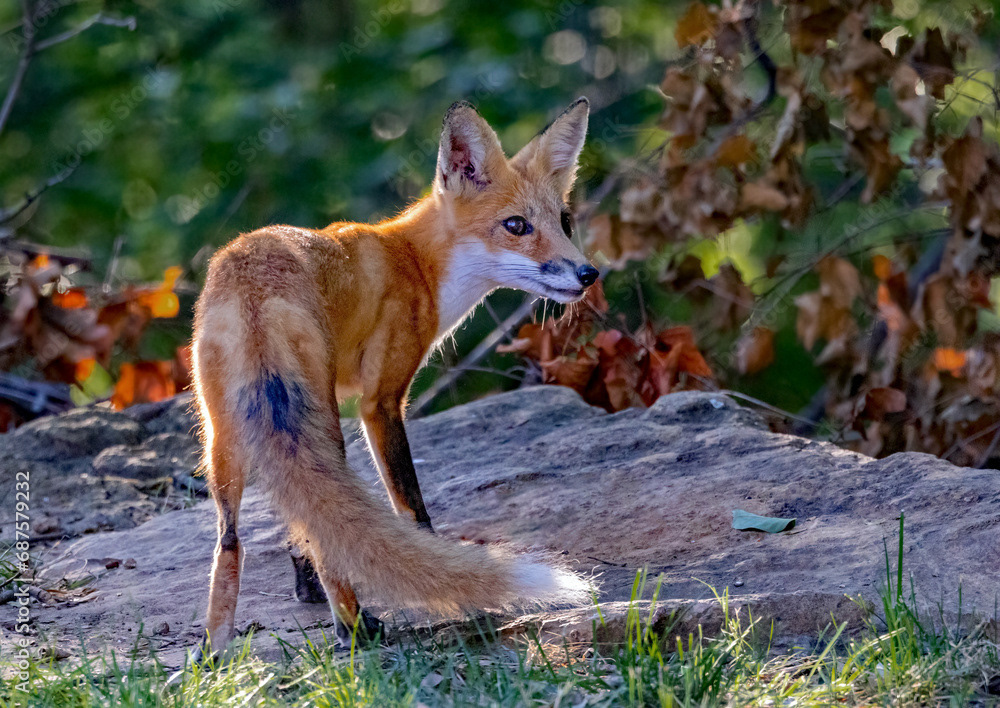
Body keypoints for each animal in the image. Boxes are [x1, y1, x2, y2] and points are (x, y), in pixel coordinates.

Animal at [191, 97, 600, 652]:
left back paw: (214, 651)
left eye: (564, 220)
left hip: (223, 436)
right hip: (320, 423)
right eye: (516, 226)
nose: (588, 274)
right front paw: (445, 577)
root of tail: (256, 291)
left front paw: (305, 586)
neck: (417, 263)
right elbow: (412, 510)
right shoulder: (380, 399)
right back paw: (354, 629)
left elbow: (299, 525)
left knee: (231, 540)